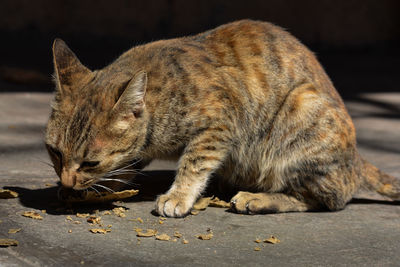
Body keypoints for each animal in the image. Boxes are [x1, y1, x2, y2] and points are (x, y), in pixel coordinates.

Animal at [45, 20, 398, 218]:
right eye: (55, 153)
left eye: (90, 162)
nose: (67, 181)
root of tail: (357, 160)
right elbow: (127, 165)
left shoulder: (221, 122)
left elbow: (194, 162)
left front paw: (178, 195)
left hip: (301, 113)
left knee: (325, 200)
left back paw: (258, 199)